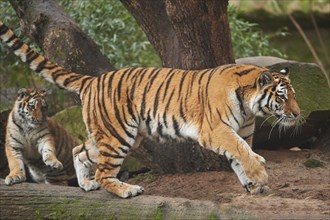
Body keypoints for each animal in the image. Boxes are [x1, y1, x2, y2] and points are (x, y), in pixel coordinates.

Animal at [0, 21, 300, 199]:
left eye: (293, 95)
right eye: (282, 96)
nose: (297, 114)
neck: (250, 108)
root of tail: (92, 80)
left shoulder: (241, 132)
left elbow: (241, 156)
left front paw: (253, 185)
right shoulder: (216, 130)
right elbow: (243, 152)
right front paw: (260, 175)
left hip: (115, 136)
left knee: (79, 151)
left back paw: (86, 184)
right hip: (118, 136)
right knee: (104, 172)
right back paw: (127, 190)